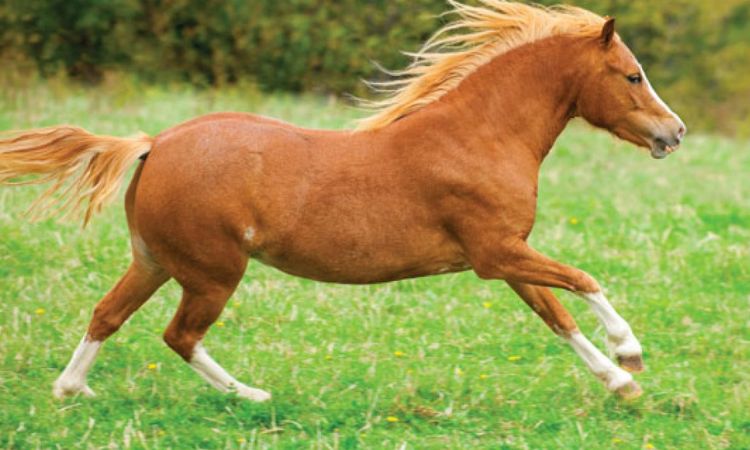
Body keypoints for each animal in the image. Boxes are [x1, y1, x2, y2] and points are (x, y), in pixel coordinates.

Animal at [0, 0, 685, 402]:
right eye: (632, 75)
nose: (673, 133)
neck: (479, 136)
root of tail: (155, 143)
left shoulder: (504, 256)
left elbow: (556, 314)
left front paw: (618, 382)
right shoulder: (497, 254)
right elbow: (584, 281)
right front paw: (630, 353)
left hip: (155, 261)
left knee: (107, 315)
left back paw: (71, 391)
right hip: (213, 272)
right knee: (179, 335)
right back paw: (252, 397)